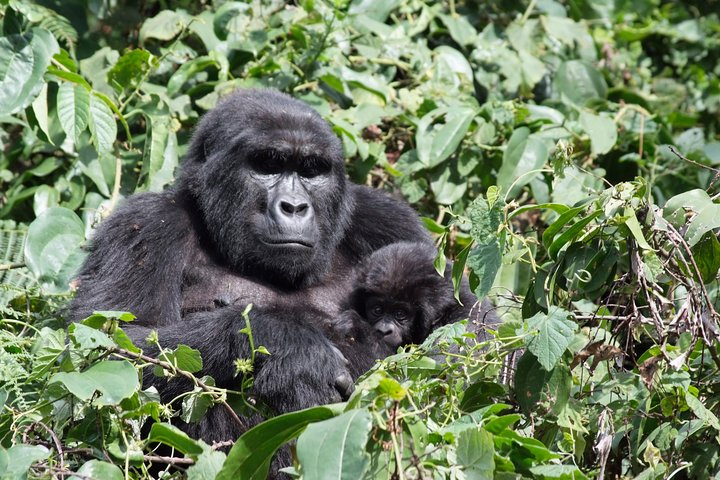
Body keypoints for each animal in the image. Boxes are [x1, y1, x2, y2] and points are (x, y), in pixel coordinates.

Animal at [67, 89, 436, 442]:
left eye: (311, 169)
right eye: (267, 164)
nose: (294, 206)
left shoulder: (390, 221)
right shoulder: (143, 224)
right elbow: (108, 348)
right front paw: (293, 348)